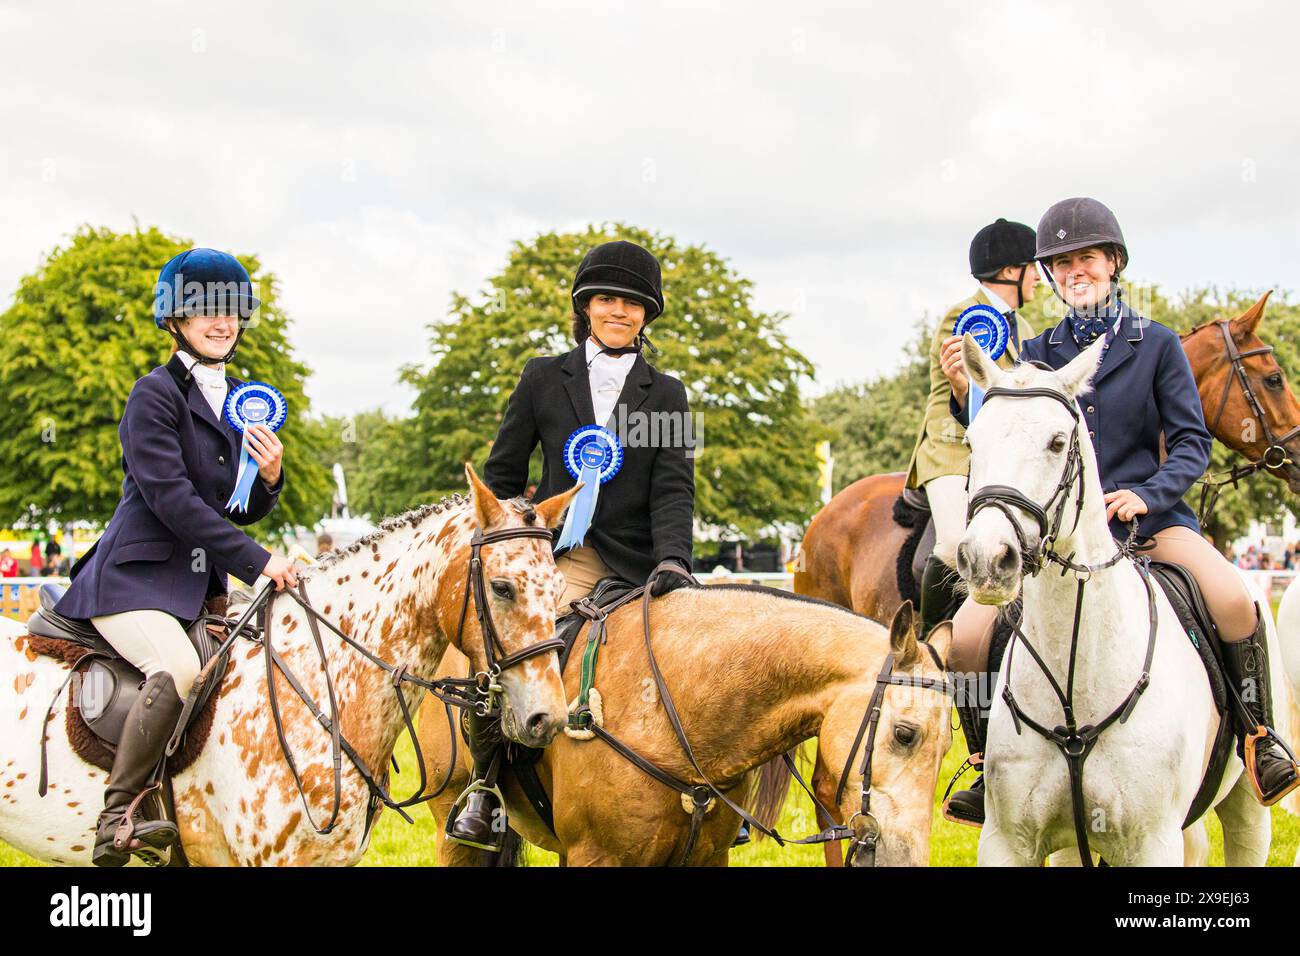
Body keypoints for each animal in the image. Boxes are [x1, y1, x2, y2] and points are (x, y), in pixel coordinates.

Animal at [967, 335, 1268, 868]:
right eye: (972, 442)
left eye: (1057, 443)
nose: (986, 558)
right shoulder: (1007, 841)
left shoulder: (1152, 844)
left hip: (1249, 805)